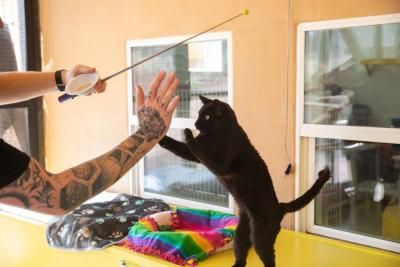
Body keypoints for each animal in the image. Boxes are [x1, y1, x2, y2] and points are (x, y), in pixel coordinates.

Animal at [159, 95, 332, 266]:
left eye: (207, 116)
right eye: (199, 114)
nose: (195, 124)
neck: (217, 134)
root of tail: (279, 206)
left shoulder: (219, 164)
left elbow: (197, 148)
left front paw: (188, 133)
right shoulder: (194, 155)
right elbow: (181, 148)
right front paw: (163, 138)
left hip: (260, 236)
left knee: (270, 259)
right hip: (241, 233)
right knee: (242, 255)